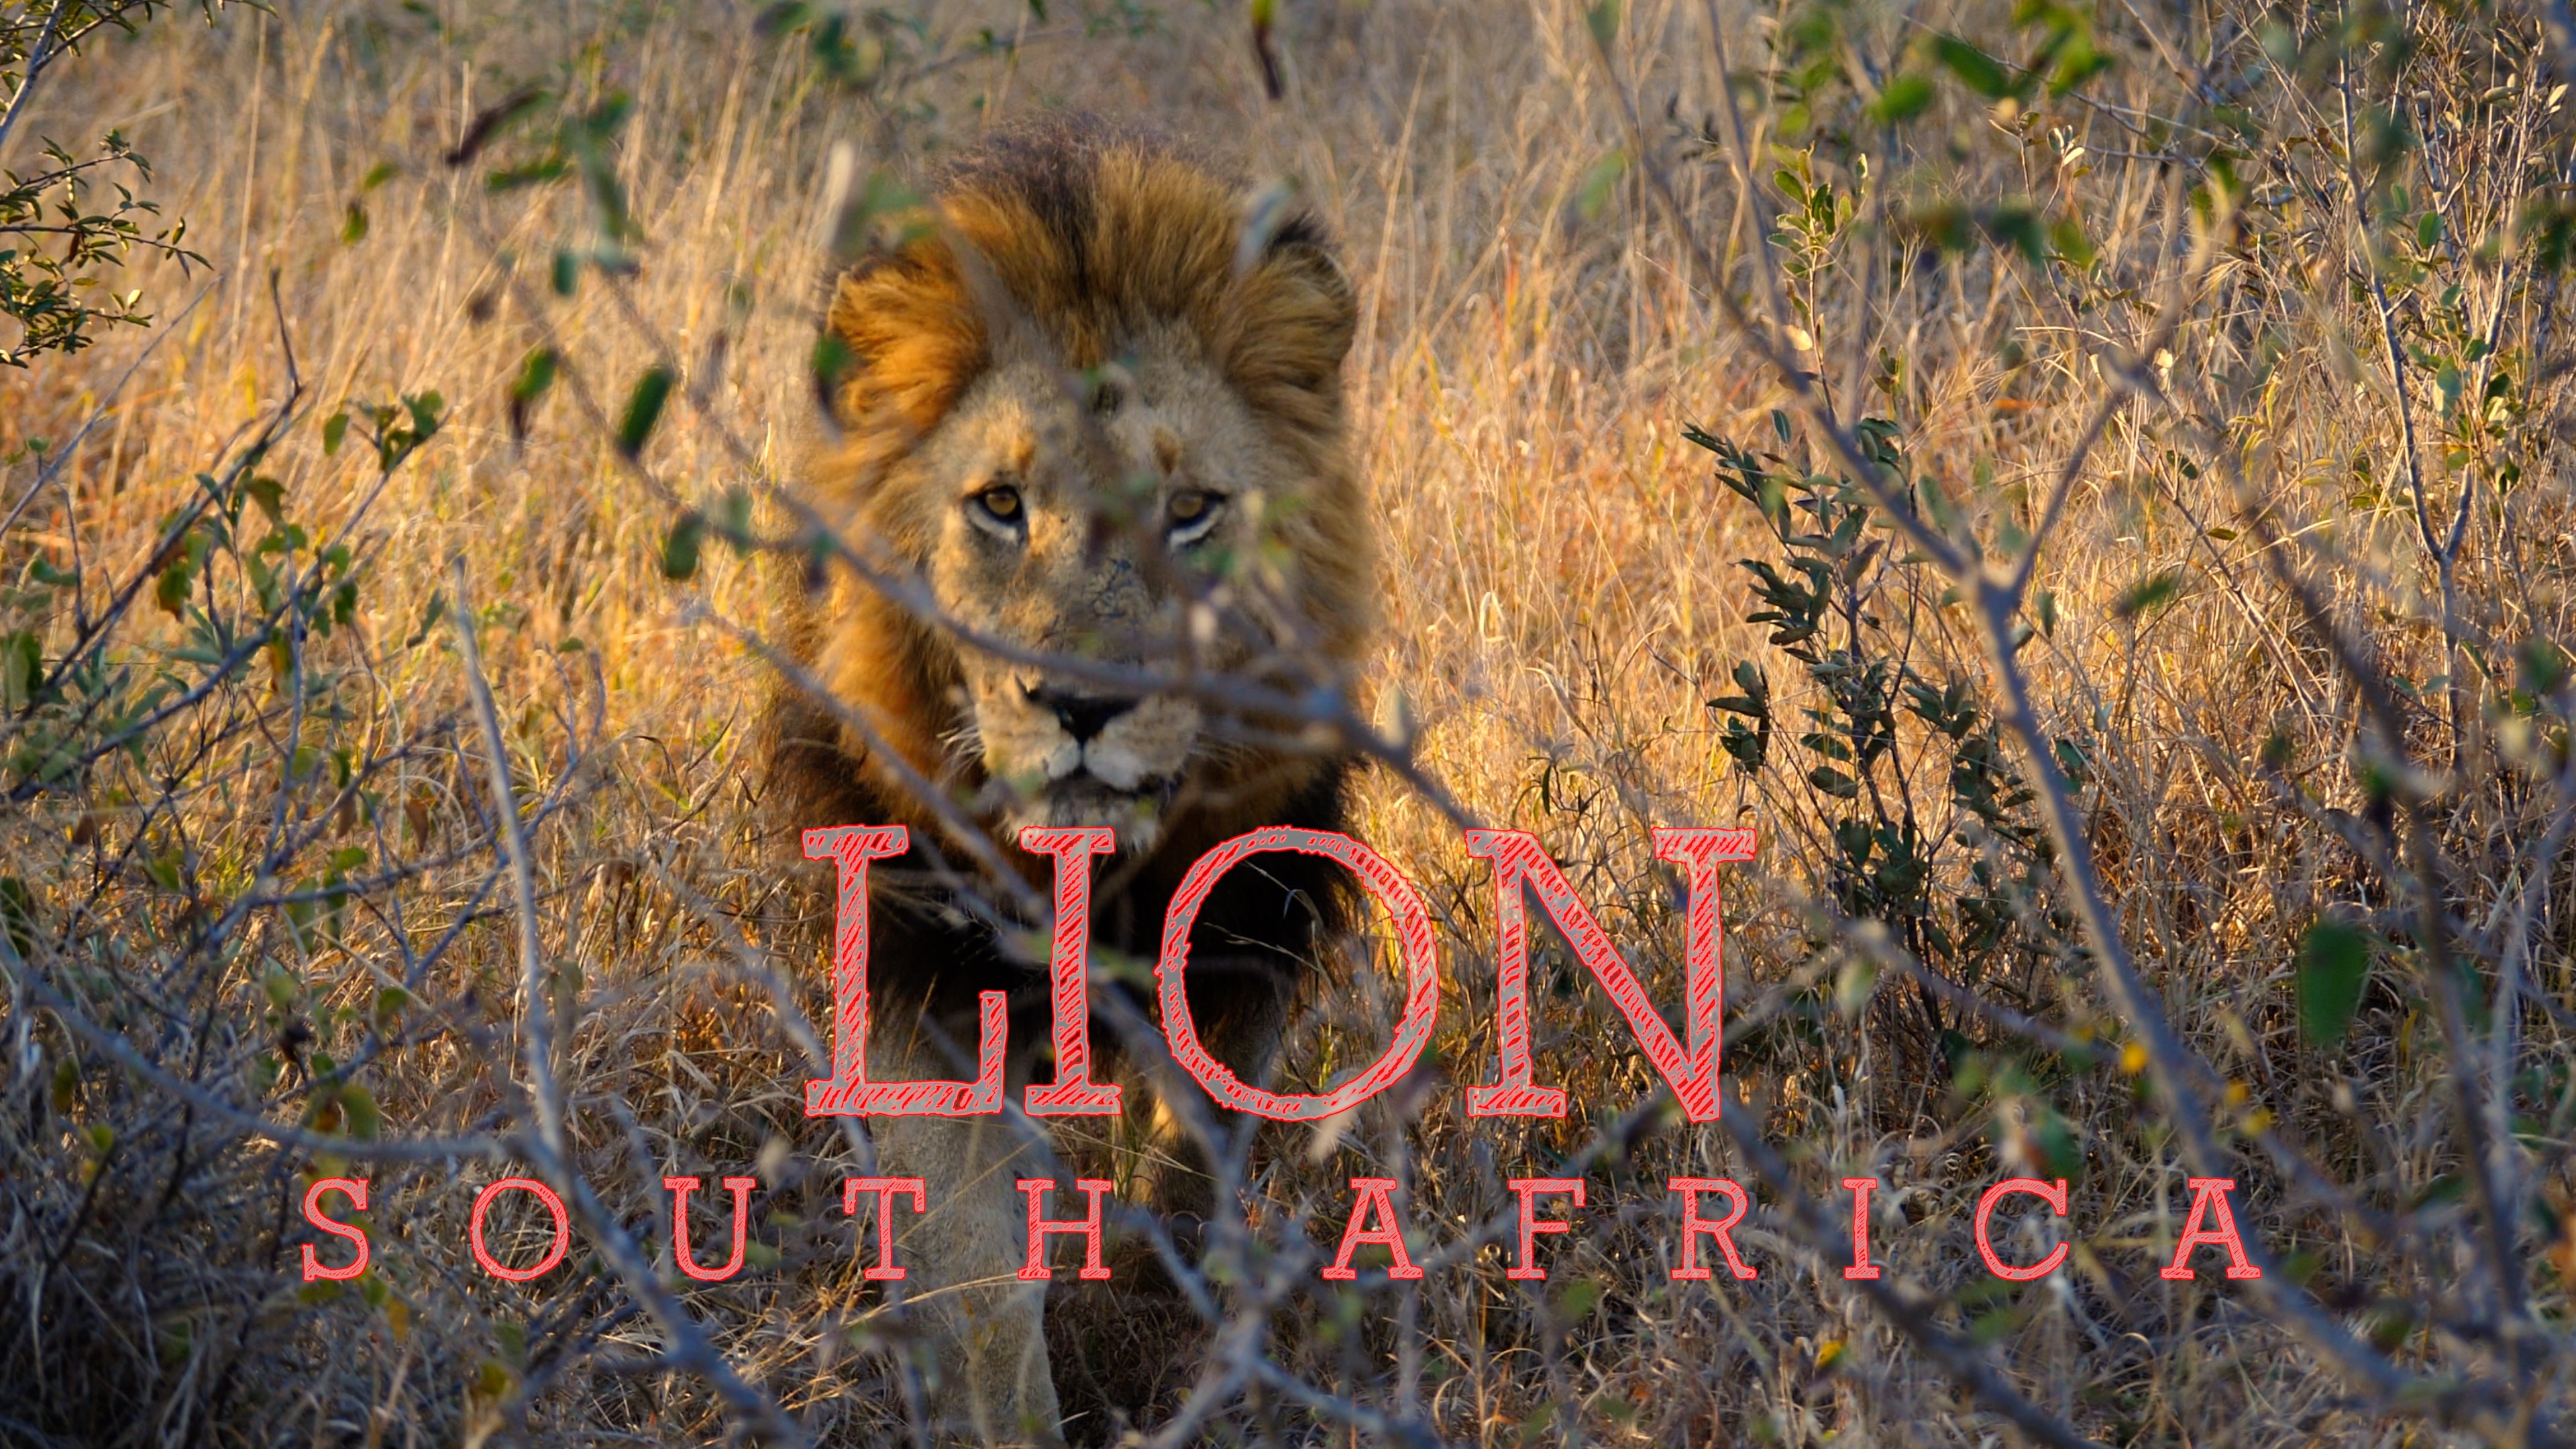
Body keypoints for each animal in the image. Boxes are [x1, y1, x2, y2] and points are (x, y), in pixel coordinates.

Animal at [760, 116, 1374, 1444]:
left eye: (1190, 512)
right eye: (1000, 504)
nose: (1082, 706)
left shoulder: (1246, 934)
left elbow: (1197, 1168)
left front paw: (1154, 1335)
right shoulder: (922, 983)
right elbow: (982, 1287)